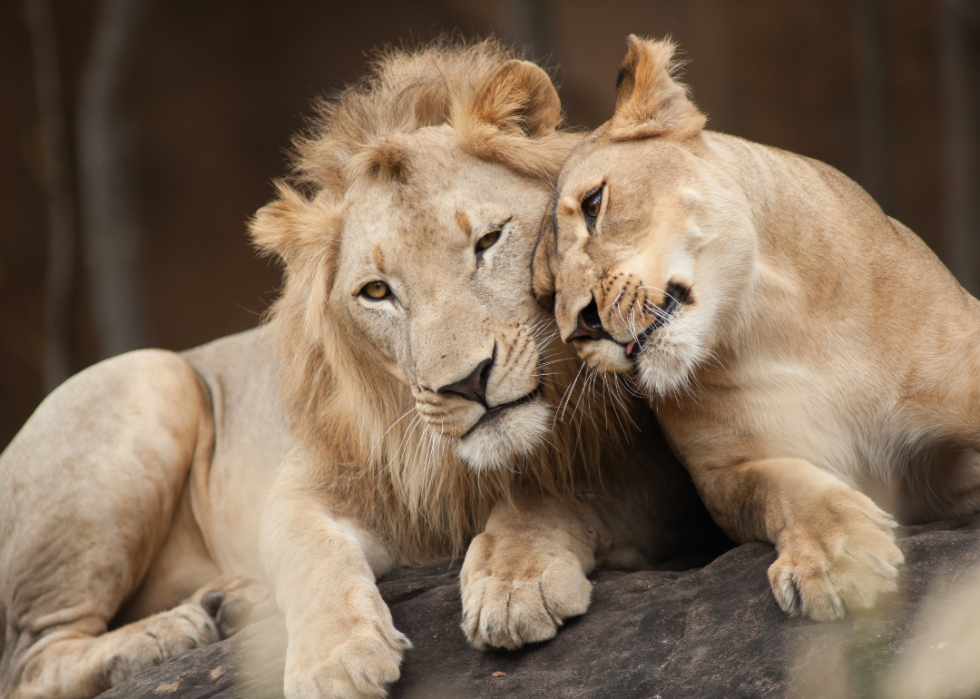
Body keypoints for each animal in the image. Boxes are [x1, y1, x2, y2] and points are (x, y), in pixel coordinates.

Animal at [0, 39, 708, 699]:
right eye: (376, 292)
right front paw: (334, 660)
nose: (466, 383)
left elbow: (557, 493)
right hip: (149, 379)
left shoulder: (655, 475)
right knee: (30, 659)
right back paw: (172, 632)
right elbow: (308, 552)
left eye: (487, 241)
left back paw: (223, 605)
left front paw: (517, 579)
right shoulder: (312, 483)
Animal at [536, 35, 980, 620]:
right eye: (546, 294)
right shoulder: (729, 471)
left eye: (593, 205)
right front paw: (836, 558)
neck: (770, 321)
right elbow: (784, 488)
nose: (579, 327)